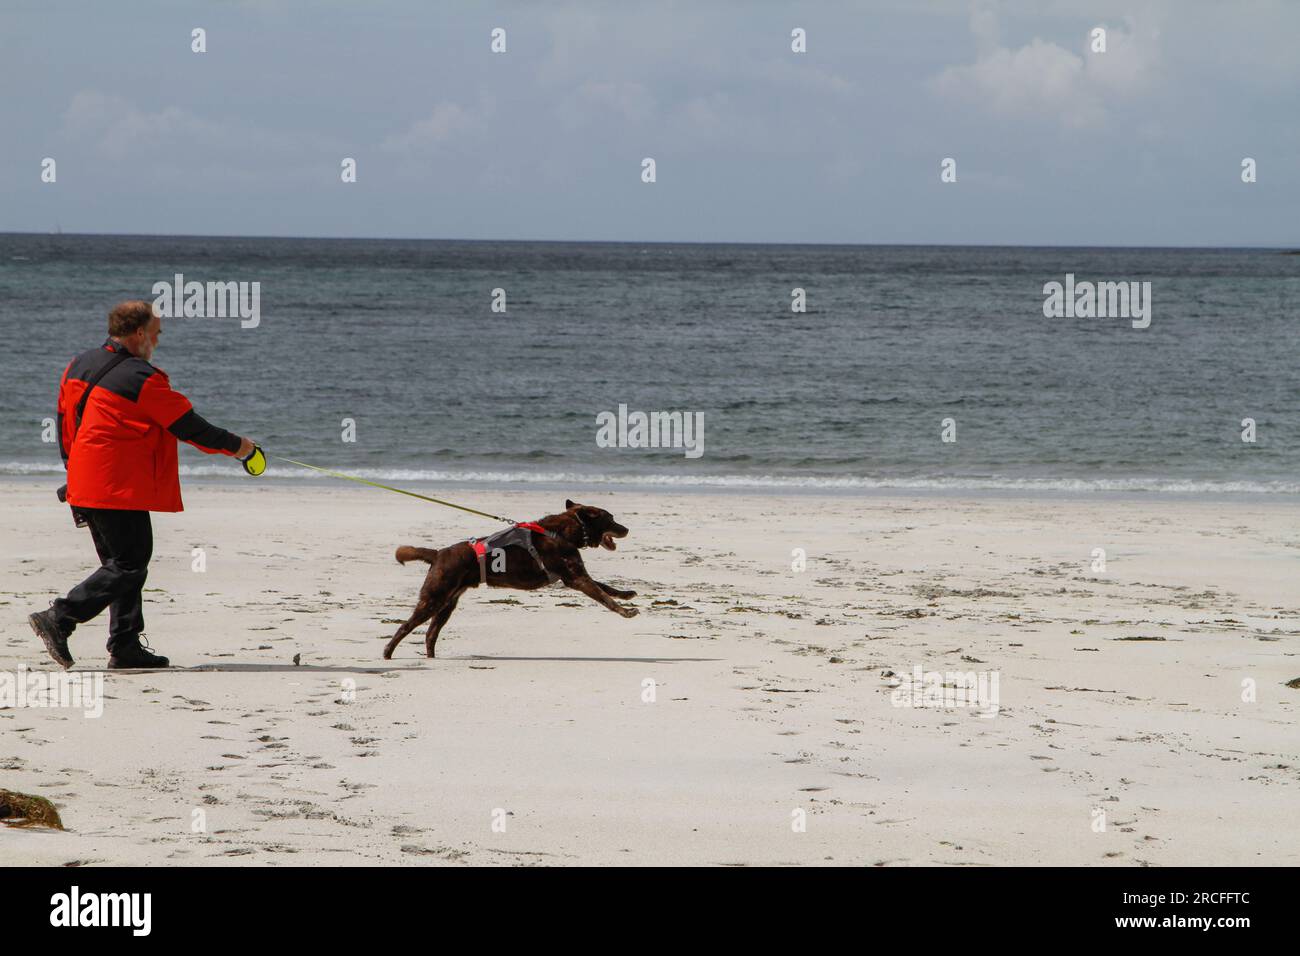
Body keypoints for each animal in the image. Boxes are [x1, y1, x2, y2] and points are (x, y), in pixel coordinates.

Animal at [379, 502, 634, 658]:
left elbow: (606, 587)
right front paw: (625, 611)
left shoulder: (574, 575)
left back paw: (431, 657)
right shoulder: (575, 578)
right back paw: (388, 653)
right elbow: (603, 596)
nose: (627, 529)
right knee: (406, 626)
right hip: (434, 598)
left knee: (431, 633)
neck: (564, 531)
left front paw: (627, 594)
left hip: (447, 603)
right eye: (611, 518)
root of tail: (438, 553)